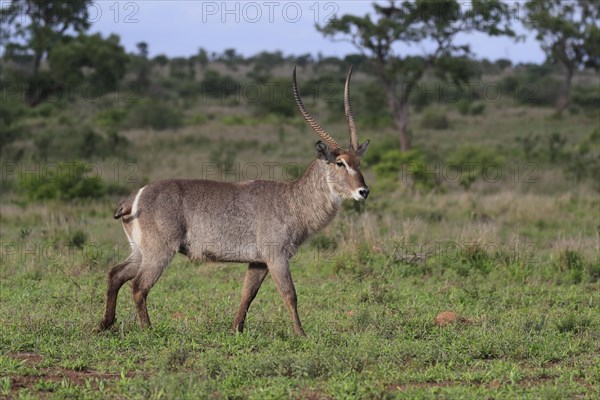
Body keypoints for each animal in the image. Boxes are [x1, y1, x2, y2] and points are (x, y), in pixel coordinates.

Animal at [98, 65, 370, 334]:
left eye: (358, 162)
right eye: (340, 163)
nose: (363, 191)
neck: (292, 201)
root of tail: (135, 197)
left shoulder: (258, 262)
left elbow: (247, 294)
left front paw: (236, 330)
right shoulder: (276, 257)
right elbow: (289, 294)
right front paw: (301, 335)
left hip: (140, 250)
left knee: (116, 274)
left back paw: (105, 324)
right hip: (159, 251)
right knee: (138, 286)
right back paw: (148, 330)